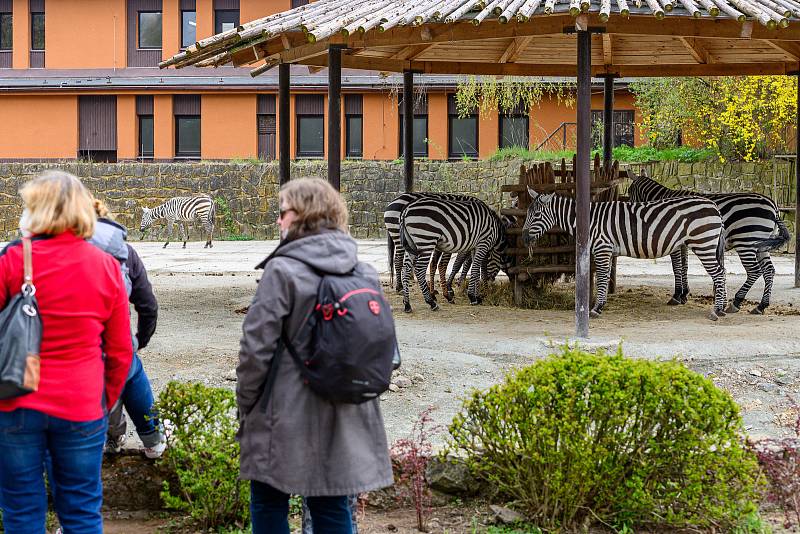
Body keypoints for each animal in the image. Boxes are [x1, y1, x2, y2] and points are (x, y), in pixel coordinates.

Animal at [520, 188, 728, 322]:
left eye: (536, 215)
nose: (523, 238)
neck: (589, 220)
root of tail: (714, 206)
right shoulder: (608, 251)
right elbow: (605, 278)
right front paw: (601, 305)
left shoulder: (602, 248)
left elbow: (601, 279)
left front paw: (596, 308)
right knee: (722, 273)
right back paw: (723, 309)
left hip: (703, 243)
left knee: (718, 274)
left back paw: (717, 311)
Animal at [628, 174, 792, 316]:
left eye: (629, 191)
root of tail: (774, 207)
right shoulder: (684, 243)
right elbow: (684, 267)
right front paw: (684, 294)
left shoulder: (674, 241)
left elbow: (677, 267)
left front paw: (677, 295)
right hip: (762, 245)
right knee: (769, 270)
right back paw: (761, 306)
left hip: (747, 242)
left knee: (754, 271)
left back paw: (737, 302)